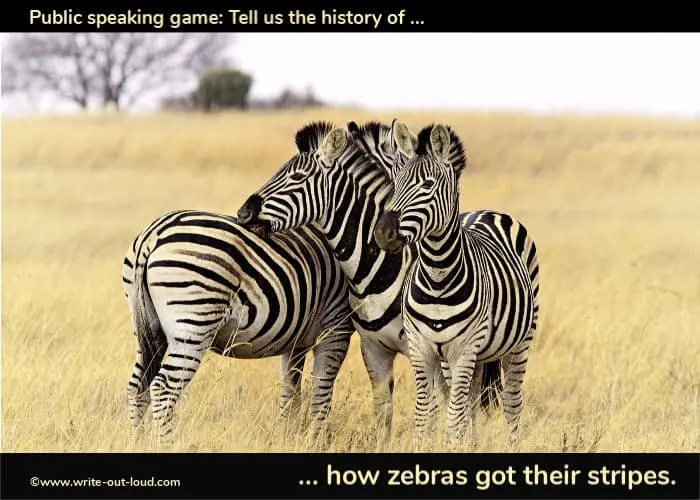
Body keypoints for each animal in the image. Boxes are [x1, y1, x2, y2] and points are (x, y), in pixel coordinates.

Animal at [122, 209, 354, 445]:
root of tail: (153, 234)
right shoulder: (337, 323)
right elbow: (321, 391)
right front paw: (316, 441)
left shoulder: (297, 339)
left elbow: (291, 391)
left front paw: (286, 437)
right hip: (194, 324)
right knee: (162, 389)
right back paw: (167, 444)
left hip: (147, 328)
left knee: (137, 386)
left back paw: (137, 441)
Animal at [373, 121, 540, 449]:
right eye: (395, 183)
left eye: (427, 186)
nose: (384, 233)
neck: (438, 277)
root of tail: (487, 211)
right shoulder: (422, 348)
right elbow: (425, 414)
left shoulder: (462, 350)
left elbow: (452, 416)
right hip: (473, 357)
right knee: (471, 402)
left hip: (520, 342)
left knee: (512, 404)